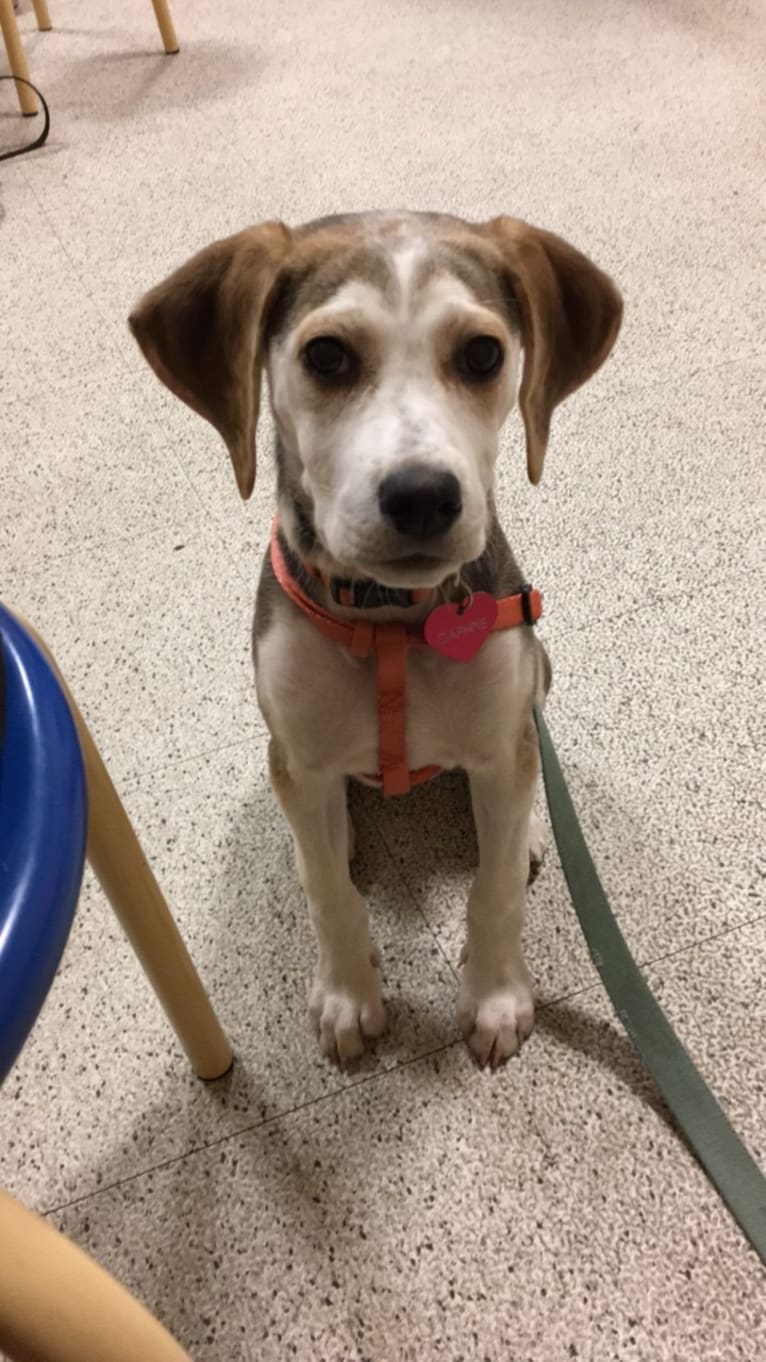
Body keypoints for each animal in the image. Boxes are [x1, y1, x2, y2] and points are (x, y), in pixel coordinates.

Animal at [129, 207, 621, 1067]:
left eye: (483, 354)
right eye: (326, 355)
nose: (422, 496)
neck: (392, 618)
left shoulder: (500, 749)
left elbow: (494, 888)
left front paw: (496, 996)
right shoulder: (299, 757)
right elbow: (329, 893)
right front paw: (348, 996)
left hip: (539, 674)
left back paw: (529, 830)